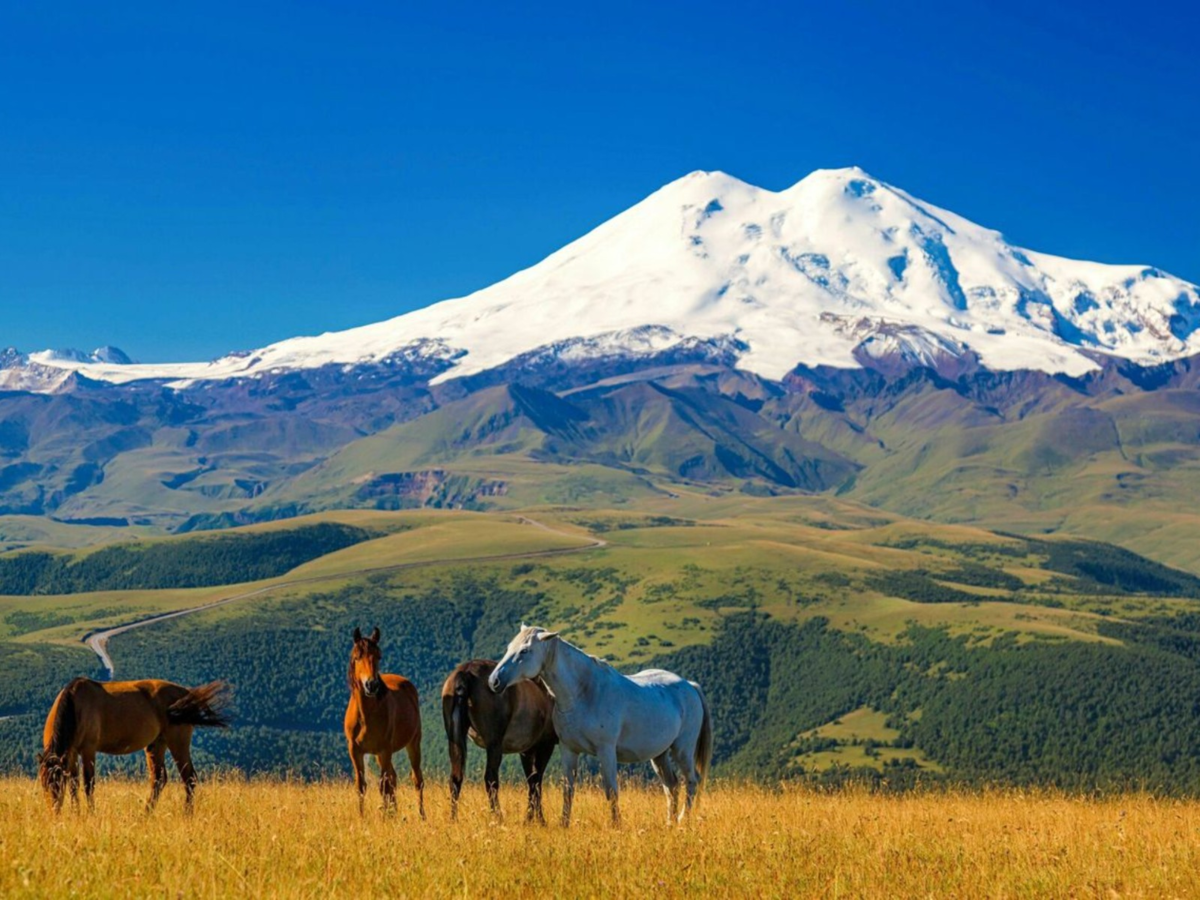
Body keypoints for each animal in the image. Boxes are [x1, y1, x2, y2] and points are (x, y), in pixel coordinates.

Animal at [39, 676, 231, 816]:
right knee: (159, 779)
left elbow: (88, 783)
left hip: (178, 742)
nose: (53, 812)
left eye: (57, 783)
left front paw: (91, 813)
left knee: (189, 778)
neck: (75, 705)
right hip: (156, 745)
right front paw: (76, 813)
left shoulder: (88, 750)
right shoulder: (70, 753)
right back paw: (145, 814)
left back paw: (186, 815)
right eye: (43, 783)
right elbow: (73, 783)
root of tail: (186, 694)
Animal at [343, 628, 427, 820]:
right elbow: (361, 785)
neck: (366, 716)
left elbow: (383, 786)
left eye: (378, 656)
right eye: (357, 657)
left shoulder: (384, 749)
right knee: (393, 778)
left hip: (413, 744)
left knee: (416, 780)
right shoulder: (355, 750)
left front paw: (385, 817)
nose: (371, 684)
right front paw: (362, 817)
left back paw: (421, 816)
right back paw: (394, 812)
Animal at [441, 657, 556, 825]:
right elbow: (536, 781)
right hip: (494, 744)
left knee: (455, 778)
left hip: (455, 737)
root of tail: (466, 673)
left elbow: (532, 780)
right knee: (490, 778)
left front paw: (529, 819)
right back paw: (498, 816)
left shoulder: (526, 750)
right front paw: (539, 820)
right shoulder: (545, 745)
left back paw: (453, 819)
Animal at [489, 628, 710, 825]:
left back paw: (683, 821)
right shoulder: (569, 750)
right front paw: (564, 824)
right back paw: (669, 823)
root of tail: (690, 685)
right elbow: (568, 790)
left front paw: (616, 825)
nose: (494, 681)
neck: (583, 693)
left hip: (682, 750)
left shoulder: (606, 750)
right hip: (659, 755)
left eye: (525, 650)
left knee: (691, 781)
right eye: (509, 647)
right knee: (671, 786)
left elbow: (611, 790)